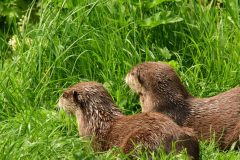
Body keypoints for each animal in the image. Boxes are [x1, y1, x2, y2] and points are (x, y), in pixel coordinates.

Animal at [57, 82, 199, 159]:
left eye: (64, 95)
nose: (57, 103)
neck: (95, 120)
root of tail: (175, 140)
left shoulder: (92, 143)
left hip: (139, 140)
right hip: (190, 132)